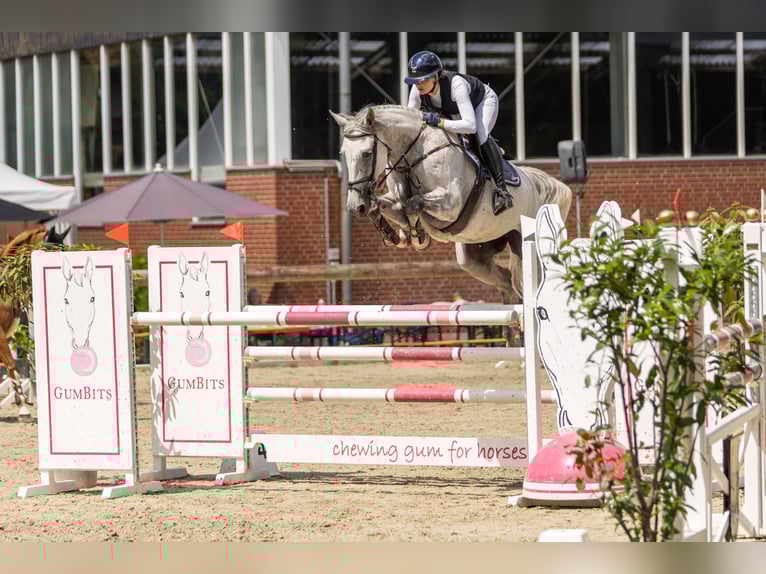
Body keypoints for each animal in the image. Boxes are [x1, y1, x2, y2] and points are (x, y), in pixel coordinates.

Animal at [330, 105, 572, 305]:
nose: (354, 206)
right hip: (474, 256)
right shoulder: (394, 199)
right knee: (505, 281)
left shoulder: (451, 204)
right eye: (343, 153)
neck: (412, 155)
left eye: (367, 153)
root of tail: (536, 184)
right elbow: (386, 206)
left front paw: (417, 235)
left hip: (524, 244)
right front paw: (397, 235)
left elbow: (413, 204)